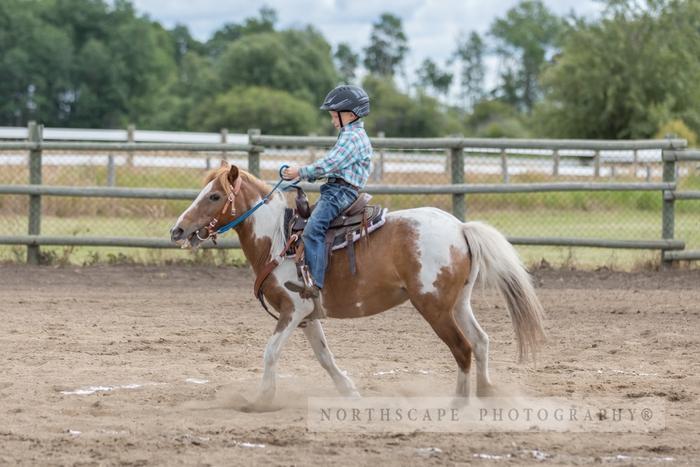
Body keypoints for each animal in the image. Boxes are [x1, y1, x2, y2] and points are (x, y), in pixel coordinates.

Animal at [170, 162, 548, 410]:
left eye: (215, 196)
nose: (177, 230)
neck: (278, 239)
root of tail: (460, 228)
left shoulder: (293, 309)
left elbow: (271, 352)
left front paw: (260, 400)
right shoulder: (307, 315)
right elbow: (324, 356)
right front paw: (349, 391)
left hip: (434, 307)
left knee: (463, 348)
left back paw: (459, 404)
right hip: (458, 302)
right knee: (481, 342)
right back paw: (486, 397)